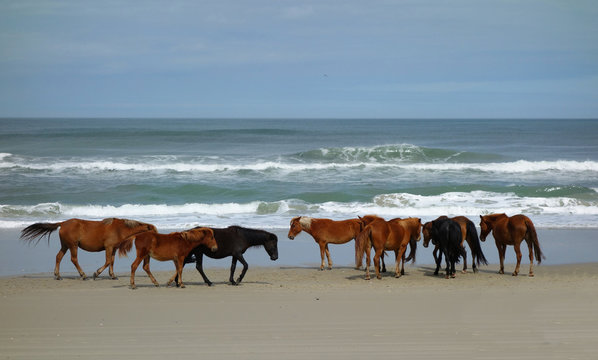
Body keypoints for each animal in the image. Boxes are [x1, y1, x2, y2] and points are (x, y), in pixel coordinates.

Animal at [19, 218, 157, 280]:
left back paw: (57, 275)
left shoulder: (113, 248)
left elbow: (112, 262)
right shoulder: (108, 247)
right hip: (73, 246)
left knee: (58, 257)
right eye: (154, 232)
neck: (119, 228)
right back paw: (83, 274)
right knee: (74, 259)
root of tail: (62, 223)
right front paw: (96, 273)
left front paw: (112, 275)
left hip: (65, 246)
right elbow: (108, 262)